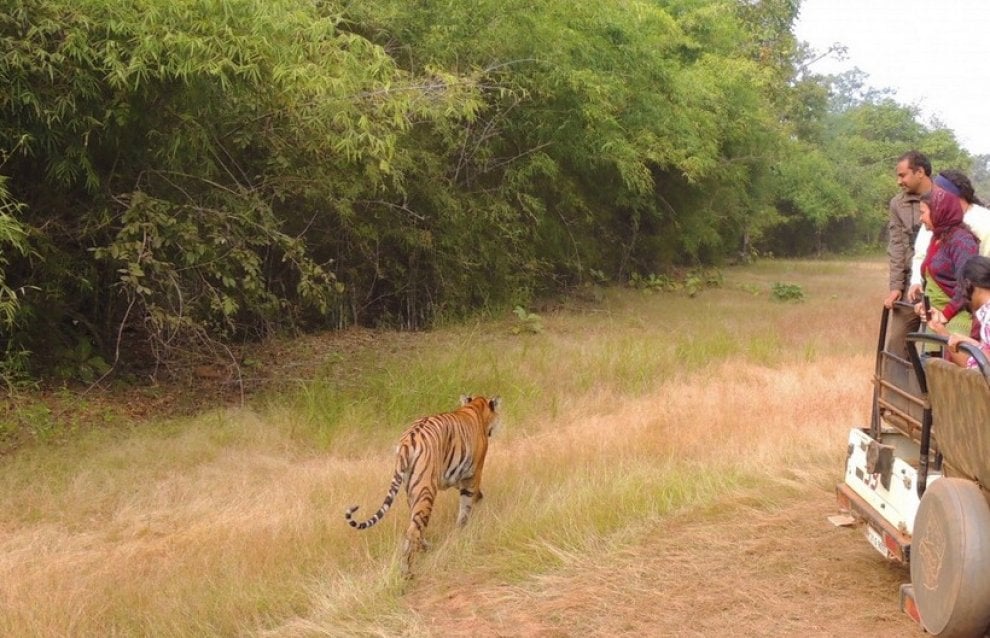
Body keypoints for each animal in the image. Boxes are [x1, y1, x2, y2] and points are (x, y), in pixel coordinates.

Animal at [344, 395, 502, 577]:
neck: (475, 407)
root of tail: (407, 440)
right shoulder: (473, 474)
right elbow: (466, 507)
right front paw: (461, 531)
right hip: (426, 489)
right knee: (413, 530)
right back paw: (407, 572)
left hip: (412, 490)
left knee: (414, 523)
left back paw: (424, 548)